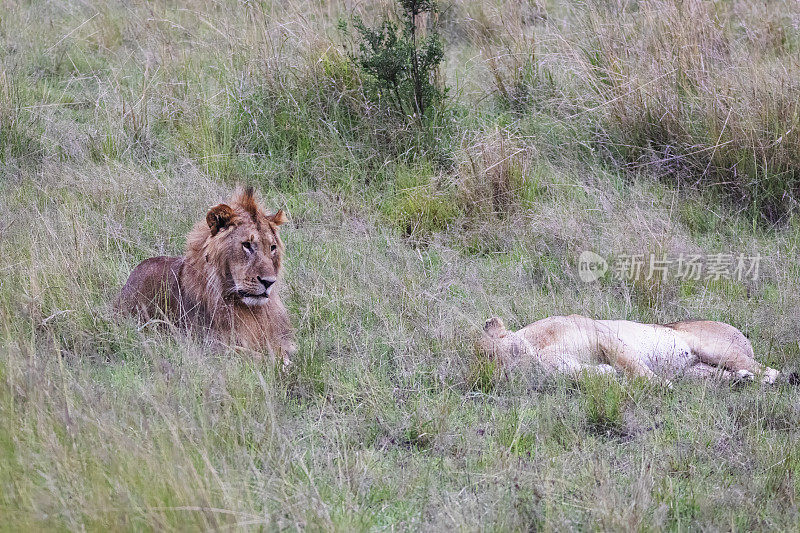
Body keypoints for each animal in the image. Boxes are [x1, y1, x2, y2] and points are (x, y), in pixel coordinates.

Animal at [115, 185, 294, 364]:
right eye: (247, 245)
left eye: (272, 247)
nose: (269, 282)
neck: (251, 310)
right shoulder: (209, 346)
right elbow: (261, 357)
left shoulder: (282, 341)